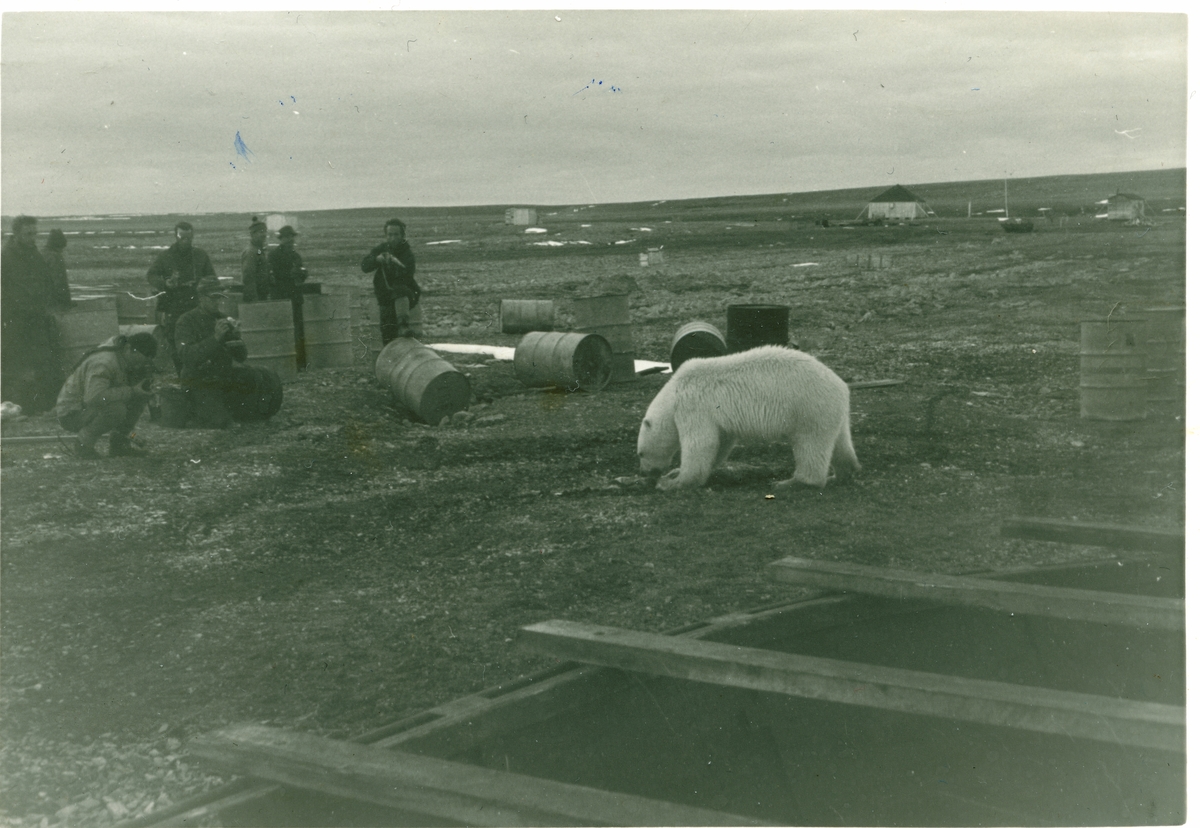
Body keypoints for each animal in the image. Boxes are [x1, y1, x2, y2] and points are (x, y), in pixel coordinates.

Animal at [643, 343, 859, 489]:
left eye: (640, 453)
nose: (646, 473)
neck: (674, 392)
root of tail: (841, 386)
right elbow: (720, 442)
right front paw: (675, 472)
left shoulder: (693, 405)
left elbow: (701, 443)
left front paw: (672, 482)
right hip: (832, 412)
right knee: (839, 441)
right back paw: (843, 473)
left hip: (809, 408)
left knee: (810, 445)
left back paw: (791, 483)